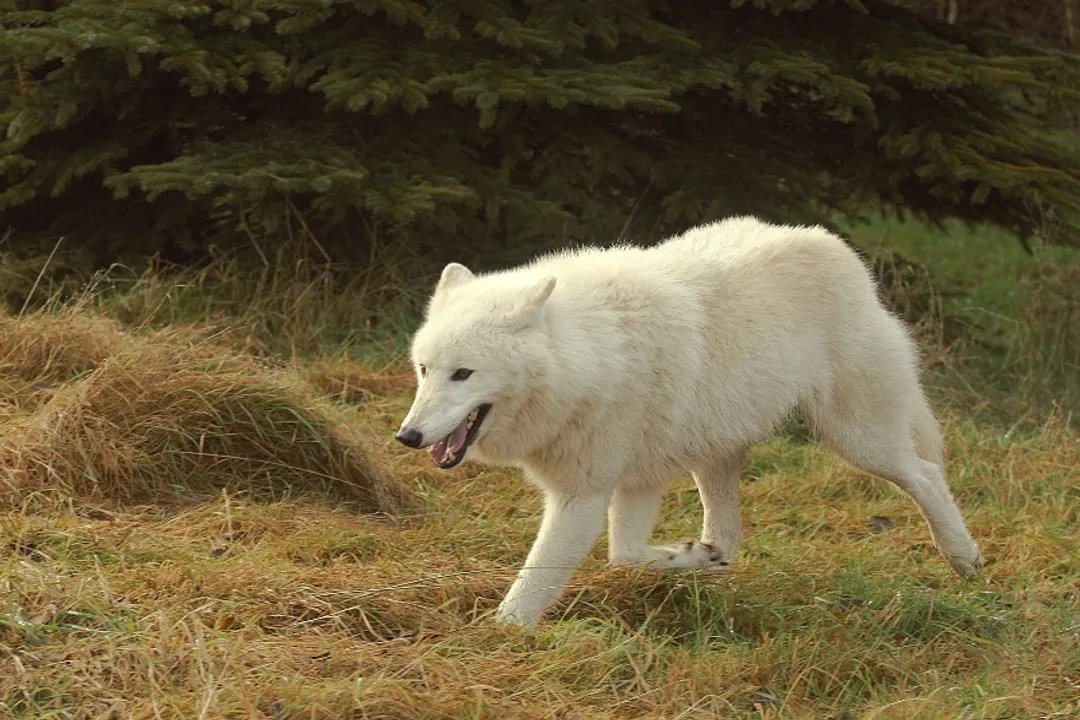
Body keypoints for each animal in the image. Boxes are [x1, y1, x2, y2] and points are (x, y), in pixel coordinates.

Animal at [395, 216, 983, 627]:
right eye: (424, 370)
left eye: (464, 374)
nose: (407, 436)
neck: (589, 358)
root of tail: (837, 247)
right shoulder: (635, 482)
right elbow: (625, 558)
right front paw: (688, 556)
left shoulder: (583, 495)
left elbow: (538, 582)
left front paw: (502, 636)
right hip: (715, 454)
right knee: (731, 534)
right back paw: (712, 559)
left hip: (858, 440)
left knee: (927, 474)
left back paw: (965, 559)